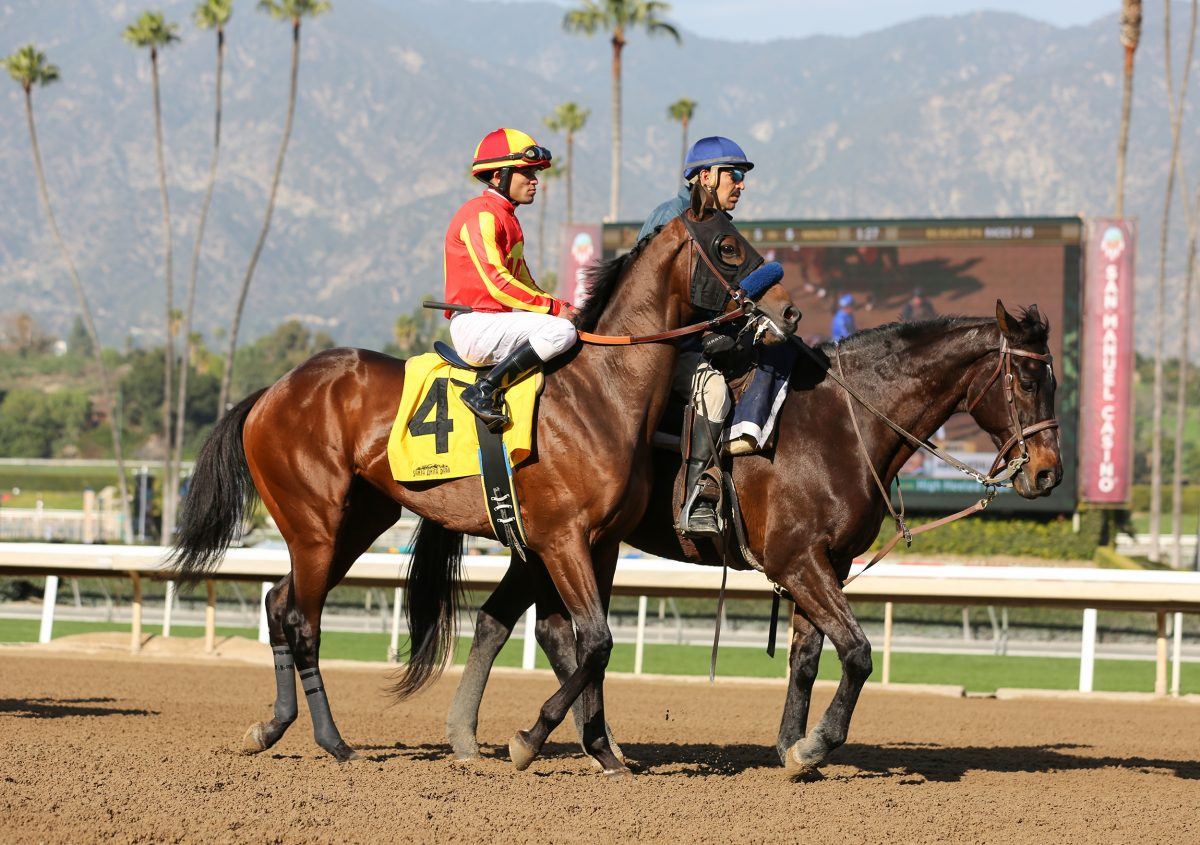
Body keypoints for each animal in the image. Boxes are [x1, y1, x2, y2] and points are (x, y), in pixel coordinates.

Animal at [164, 211, 796, 772]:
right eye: (729, 247)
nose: (788, 309)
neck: (602, 392)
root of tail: (272, 391)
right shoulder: (562, 539)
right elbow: (593, 640)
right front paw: (530, 741)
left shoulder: (602, 543)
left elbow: (587, 644)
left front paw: (602, 751)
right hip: (315, 523)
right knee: (301, 619)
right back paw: (332, 741)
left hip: (355, 523)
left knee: (279, 603)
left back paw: (272, 727)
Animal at [444, 303, 1060, 777]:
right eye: (1029, 382)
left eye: (1055, 382)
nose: (1049, 473)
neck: (844, 424)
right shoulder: (797, 561)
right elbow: (857, 653)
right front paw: (816, 744)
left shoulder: (828, 562)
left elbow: (806, 660)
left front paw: (792, 746)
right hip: (561, 539)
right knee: (553, 631)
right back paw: (544, 738)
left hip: (550, 543)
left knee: (504, 622)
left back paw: (490, 738)